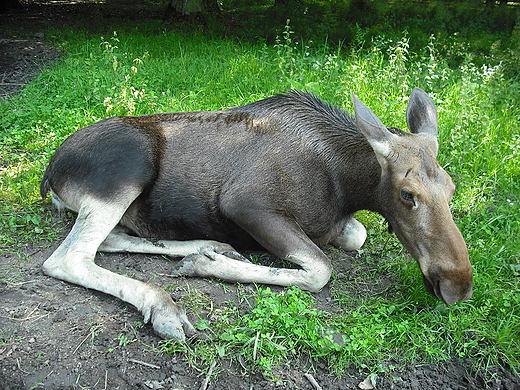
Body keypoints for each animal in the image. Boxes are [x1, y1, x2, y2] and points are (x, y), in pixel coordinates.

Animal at [39, 90, 472, 340]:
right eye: (407, 194)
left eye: (452, 189)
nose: (459, 285)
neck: (343, 184)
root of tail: (49, 172)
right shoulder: (246, 203)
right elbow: (320, 269)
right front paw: (206, 267)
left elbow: (355, 235)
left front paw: (206, 259)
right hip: (127, 168)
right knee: (68, 258)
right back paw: (166, 303)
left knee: (112, 240)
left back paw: (208, 246)